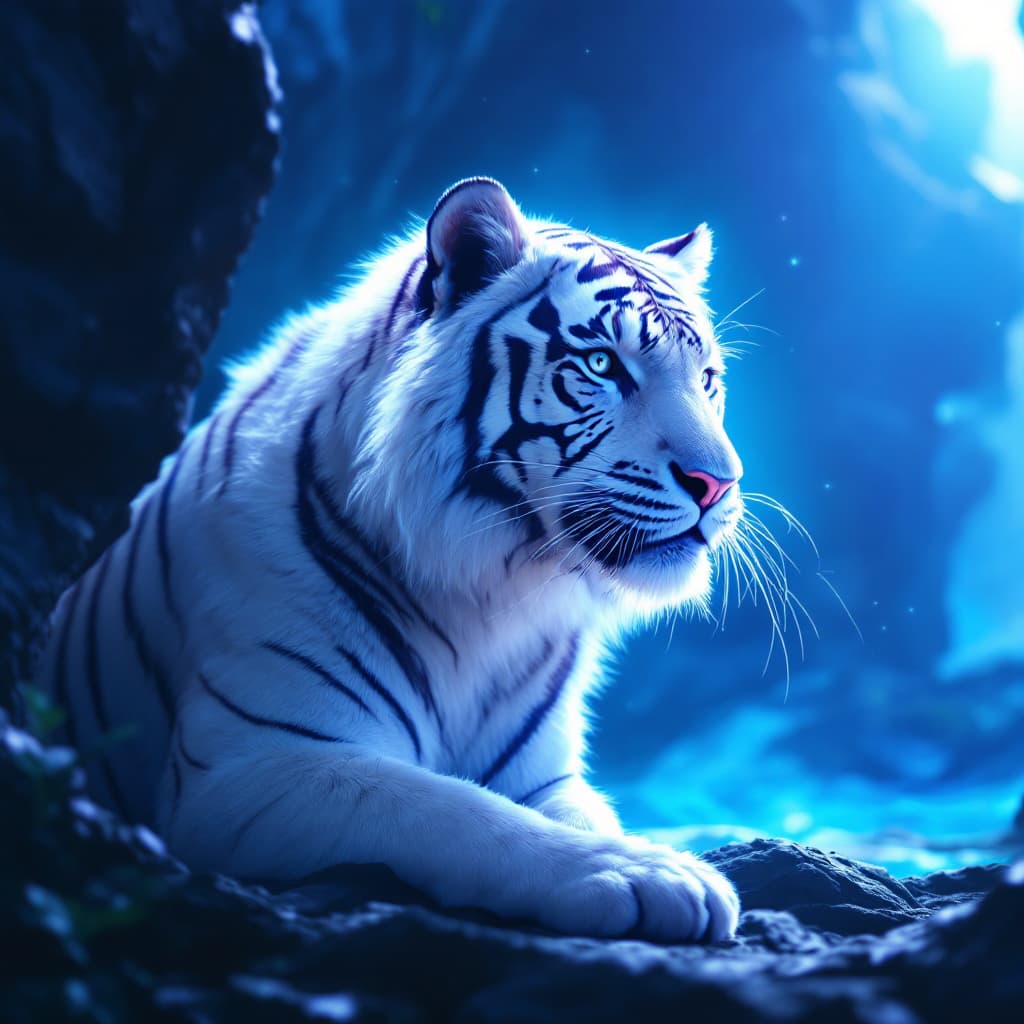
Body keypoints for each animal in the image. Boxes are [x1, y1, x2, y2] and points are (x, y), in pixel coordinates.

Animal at [35, 177, 746, 943]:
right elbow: (454, 810)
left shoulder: (544, 777)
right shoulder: (244, 768)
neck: (493, 591)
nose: (719, 483)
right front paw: (649, 875)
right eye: (602, 365)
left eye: (708, 378)